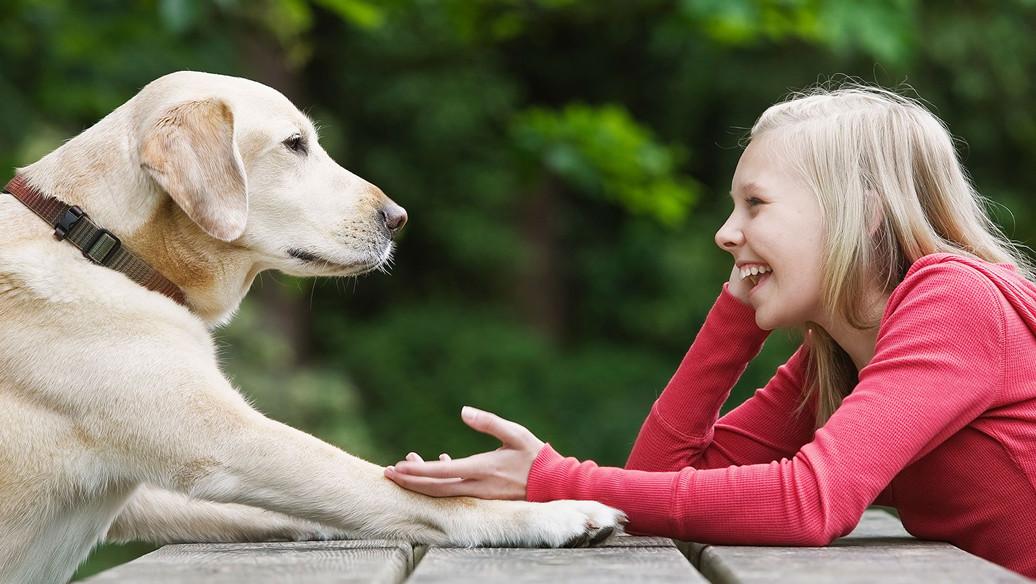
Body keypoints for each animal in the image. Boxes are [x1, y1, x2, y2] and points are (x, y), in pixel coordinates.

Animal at [0, 70, 621, 579]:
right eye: (294, 145)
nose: (398, 218)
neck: (96, 241)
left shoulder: (144, 497)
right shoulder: (230, 442)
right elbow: (395, 490)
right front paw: (555, 514)